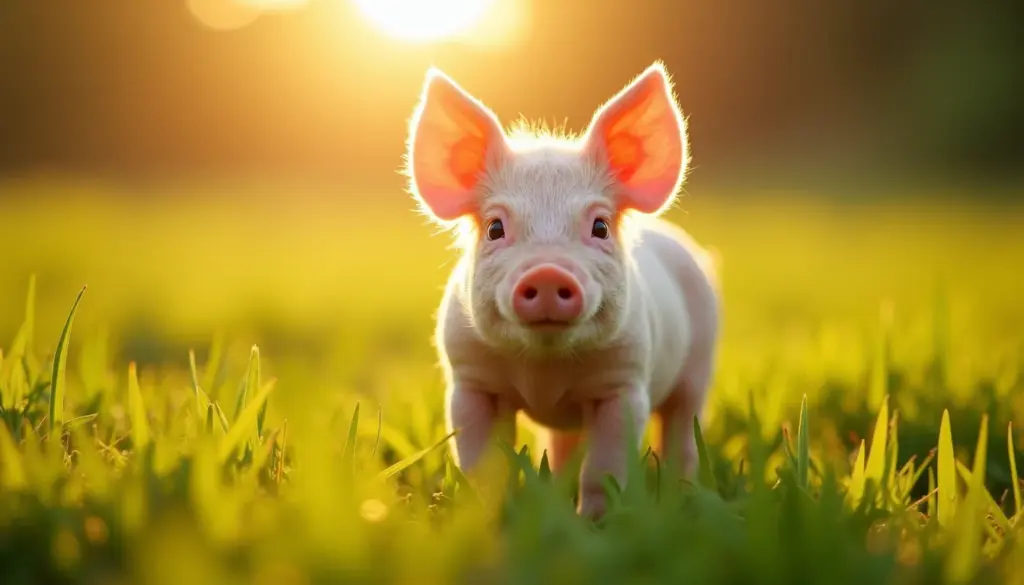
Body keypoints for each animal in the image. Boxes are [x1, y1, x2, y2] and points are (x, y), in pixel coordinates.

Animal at [404, 61, 720, 519]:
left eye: (600, 226)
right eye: (495, 227)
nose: (548, 273)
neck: (545, 370)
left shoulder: (624, 383)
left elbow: (604, 469)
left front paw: (595, 522)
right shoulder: (471, 380)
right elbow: (484, 463)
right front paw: (486, 516)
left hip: (700, 365)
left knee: (682, 429)